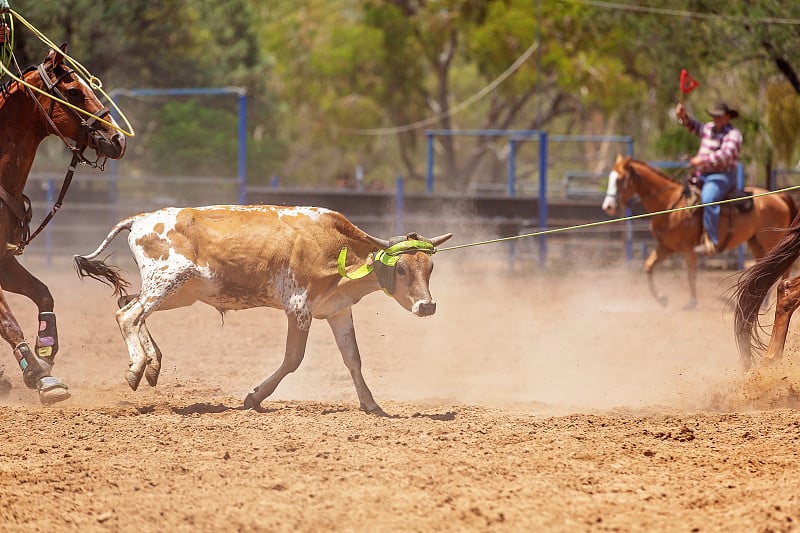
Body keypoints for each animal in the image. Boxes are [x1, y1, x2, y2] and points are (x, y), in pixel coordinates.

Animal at [0, 46, 126, 404]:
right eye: (73, 92)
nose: (117, 138)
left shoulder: (5, 262)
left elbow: (44, 295)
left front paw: (45, 358)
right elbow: (8, 322)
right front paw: (42, 377)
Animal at [74, 206, 450, 414]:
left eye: (430, 268)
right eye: (401, 269)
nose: (427, 305)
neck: (334, 244)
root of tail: (139, 220)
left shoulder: (337, 310)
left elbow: (353, 359)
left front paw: (371, 404)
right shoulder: (299, 308)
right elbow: (292, 359)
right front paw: (254, 397)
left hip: (178, 292)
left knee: (128, 304)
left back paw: (152, 363)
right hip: (167, 282)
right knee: (128, 315)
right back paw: (138, 366)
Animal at [604, 155, 796, 308]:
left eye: (620, 179)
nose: (608, 206)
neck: (670, 206)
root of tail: (779, 196)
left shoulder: (689, 249)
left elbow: (691, 275)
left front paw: (691, 302)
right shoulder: (666, 247)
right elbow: (648, 267)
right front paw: (662, 299)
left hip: (772, 240)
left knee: (783, 268)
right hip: (755, 242)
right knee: (766, 268)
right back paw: (761, 302)